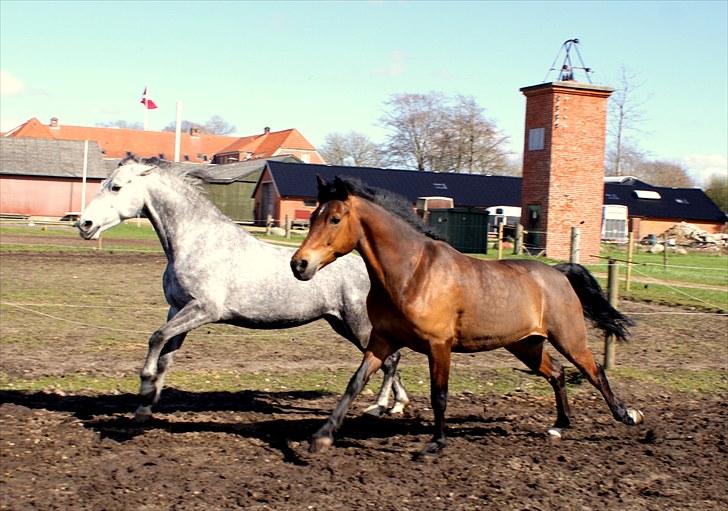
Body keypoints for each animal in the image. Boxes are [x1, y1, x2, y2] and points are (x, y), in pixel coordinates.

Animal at [80, 159, 412, 420]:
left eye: (116, 187)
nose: (84, 224)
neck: (196, 242)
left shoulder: (203, 309)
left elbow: (156, 338)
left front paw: (145, 383)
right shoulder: (176, 309)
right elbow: (166, 356)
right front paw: (145, 408)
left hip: (358, 325)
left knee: (390, 359)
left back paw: (381, 406)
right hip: (342, 324)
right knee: (386, 360)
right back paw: (397, 404)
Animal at [290, 177, 644, 460]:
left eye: (335, 218)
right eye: (312, 216)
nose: (299, 264)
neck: (412, 273)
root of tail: (558, 273)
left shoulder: (439, 345)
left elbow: (439, 395)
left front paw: (435, 444)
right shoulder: (381, 340)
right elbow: (355, 382)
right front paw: (321, 437)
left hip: (569, 338)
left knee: (594, 371)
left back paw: (628, 415)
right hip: (526, 345)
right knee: (556, 373)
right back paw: (559, 425)